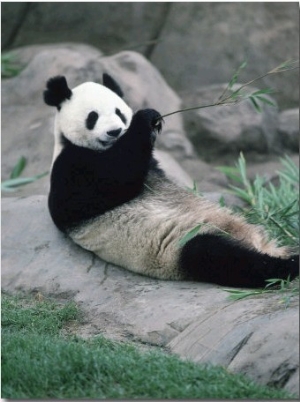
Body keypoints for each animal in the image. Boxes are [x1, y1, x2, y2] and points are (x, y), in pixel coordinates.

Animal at [43, 74, 298, 288]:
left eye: (118, 112)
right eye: (92, 117)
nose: (114, 131)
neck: (105, 148)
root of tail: (257, 243)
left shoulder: (152, 167)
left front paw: (153, 120)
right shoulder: (70, 167)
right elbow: (102, 189)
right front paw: (145, 120)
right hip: (180, 246)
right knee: (221, 257)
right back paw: (289, 266)